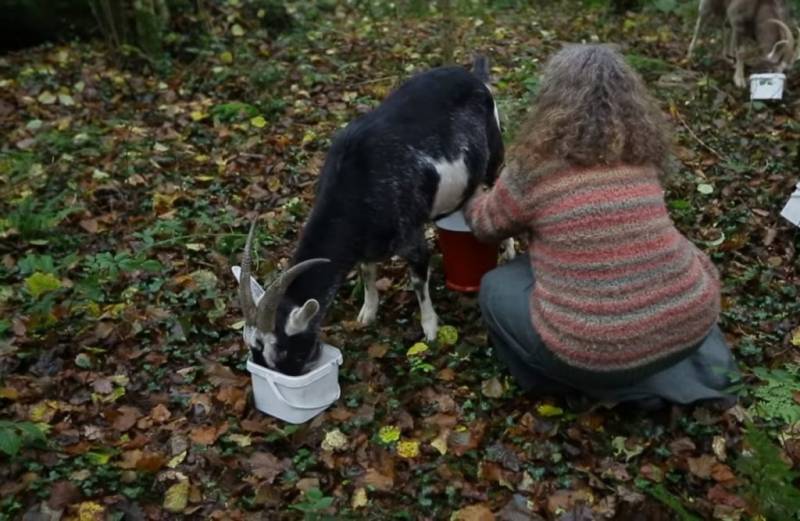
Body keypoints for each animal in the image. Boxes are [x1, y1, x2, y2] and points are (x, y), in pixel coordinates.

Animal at [234, 55, 504, 374]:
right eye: (254, 350)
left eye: (285, 350)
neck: (356, 181)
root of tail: (475, 77)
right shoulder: (365, 244)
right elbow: (366, 271)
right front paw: (368, 313)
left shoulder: (412, 237)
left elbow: (418, 282)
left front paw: (430, 328)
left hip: (495, 155)